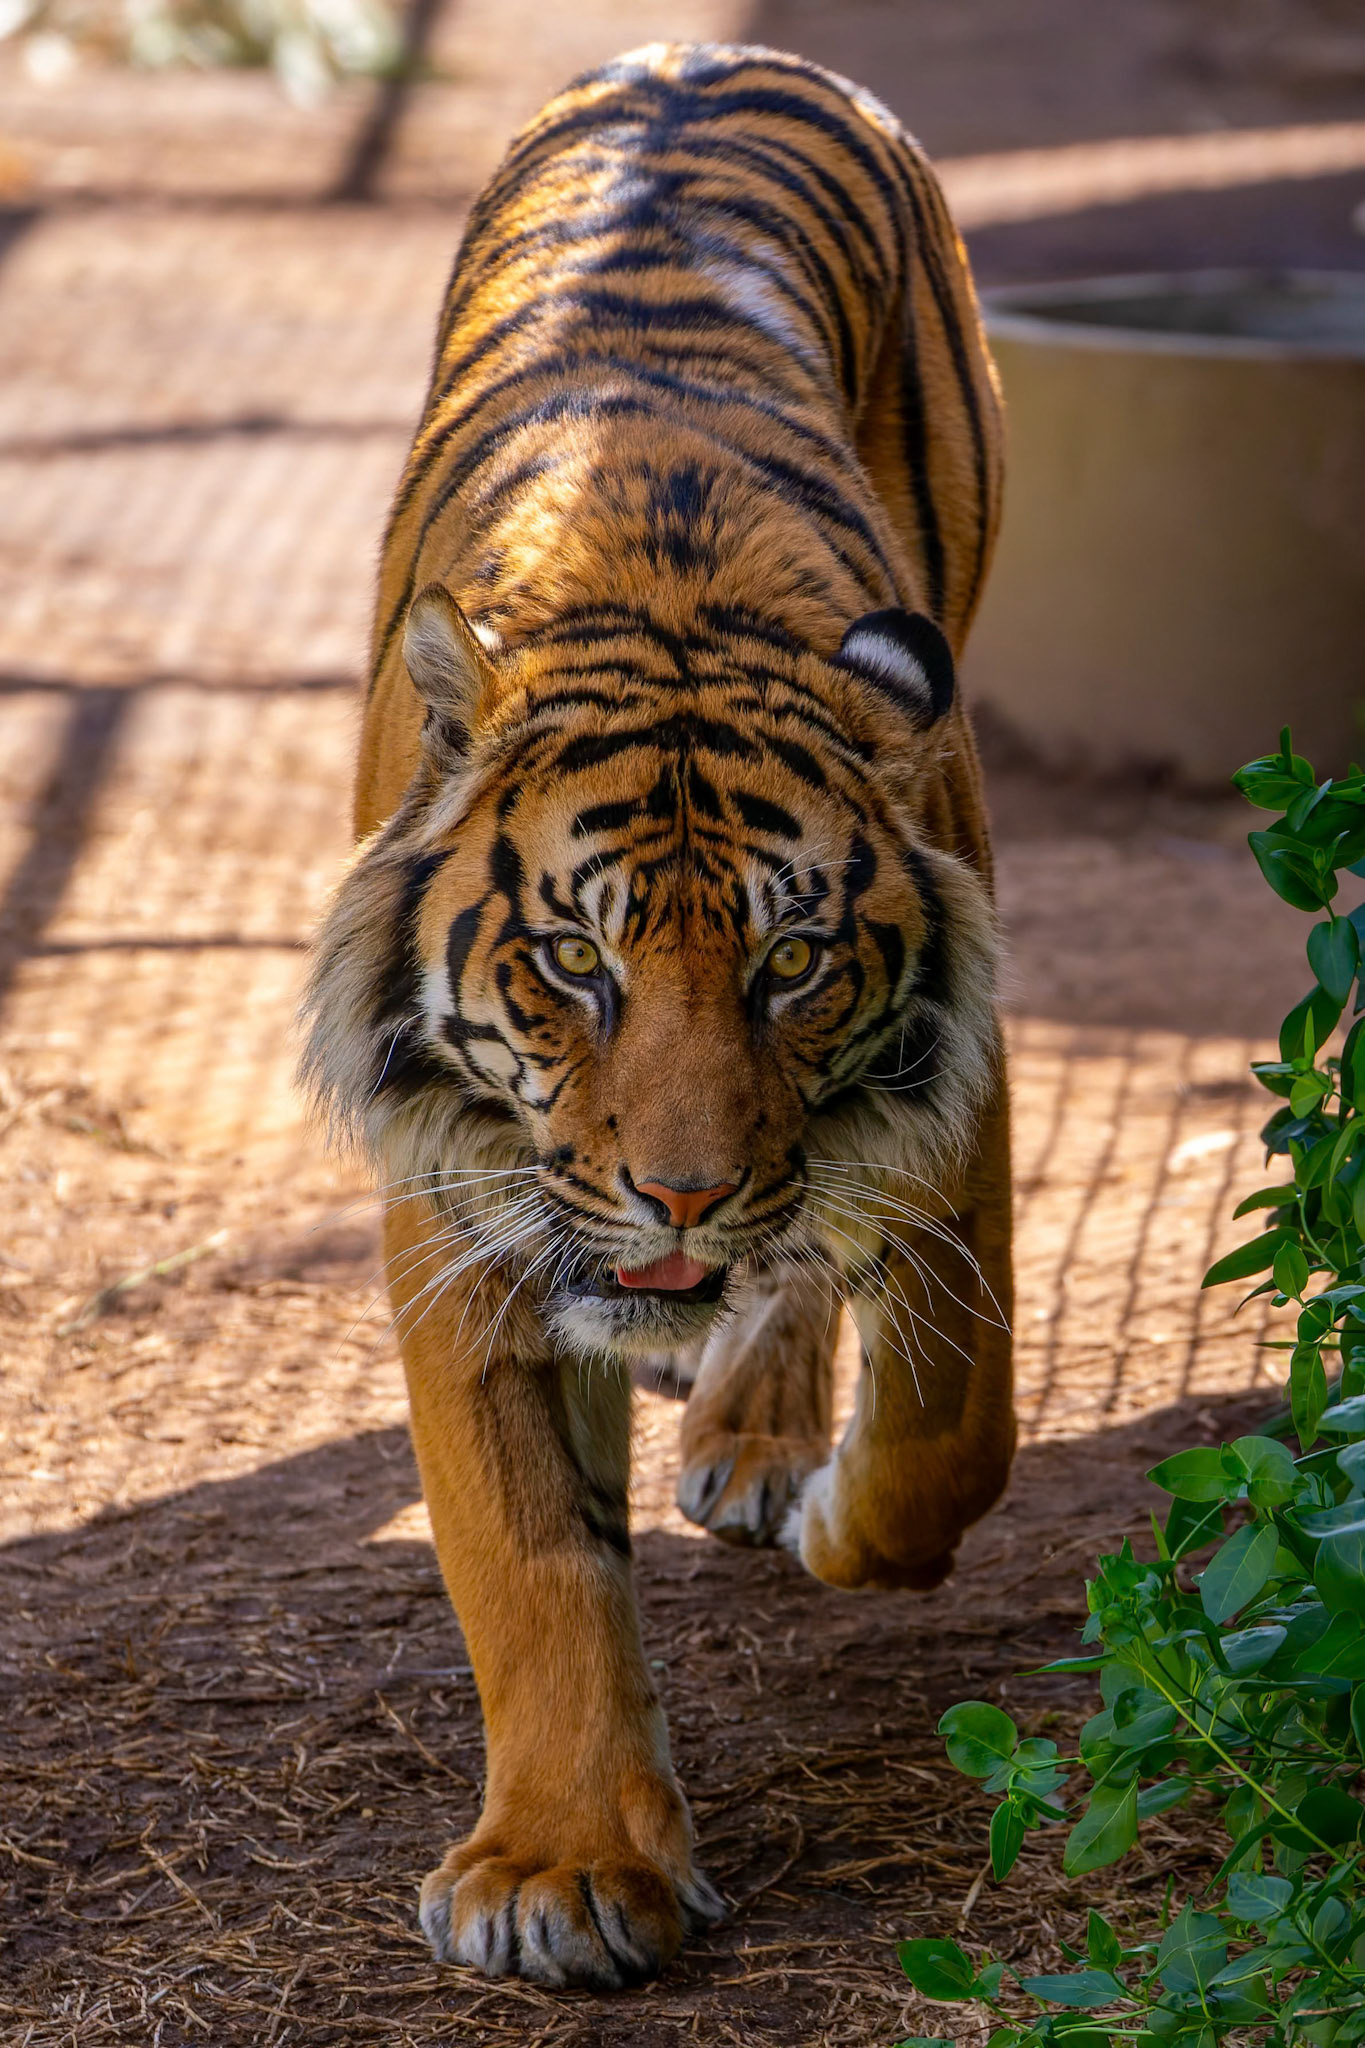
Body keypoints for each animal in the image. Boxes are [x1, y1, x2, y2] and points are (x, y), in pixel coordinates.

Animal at [302, 41, 1013, 1990]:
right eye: (573, 964)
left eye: (793, 965)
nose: (682, 1194)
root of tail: (713, 51)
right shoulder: (461, 1197)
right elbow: (527, 1551)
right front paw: (562, 1868)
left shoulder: (955, 1096)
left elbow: (953, 1412)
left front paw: (847, 1515)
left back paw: (765, 1440)